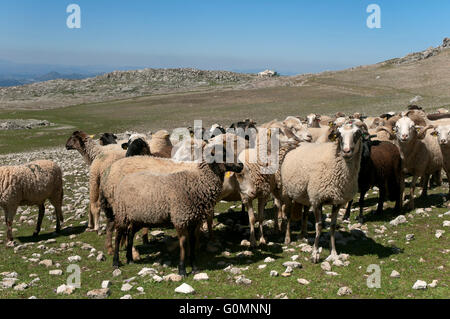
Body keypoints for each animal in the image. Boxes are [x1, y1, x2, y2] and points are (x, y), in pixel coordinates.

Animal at [101, 141, 243, 276]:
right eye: (222, 154)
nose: (241, 165)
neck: (197, 182)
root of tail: (125, 179)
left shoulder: (194, 220)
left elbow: (192, 242)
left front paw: (194, 267)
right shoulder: (181, 218)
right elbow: (183, 244)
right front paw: (182, 270)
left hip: (138, 217)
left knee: (130, 233)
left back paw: (130, 258)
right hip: (122, 214)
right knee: (119, 235)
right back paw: (116, 261)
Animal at [282, 121, 366, 264]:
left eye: (357, 134)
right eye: (339, 135)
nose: (346, 151)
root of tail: (300, 143)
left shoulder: (337, 202)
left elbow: (332, 226)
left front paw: (334, 253)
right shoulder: (317, 200)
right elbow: (319, 226)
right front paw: (315, 254)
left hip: (305, 195)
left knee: (305, 214)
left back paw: (303, 234)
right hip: (288, 192)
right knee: (288, 215)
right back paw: (287, 238)